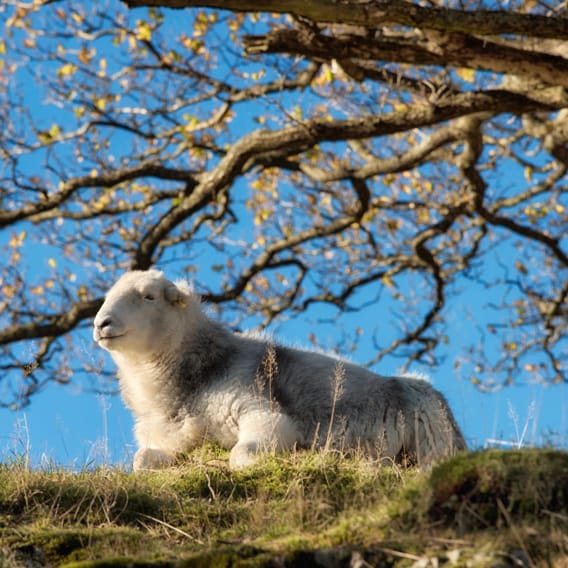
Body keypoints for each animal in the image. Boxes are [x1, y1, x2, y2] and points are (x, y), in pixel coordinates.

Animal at [93, 270, 466, 470]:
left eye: (149, 296)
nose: (101, 324)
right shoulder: (174, 441)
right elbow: (141, 461)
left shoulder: (264, 414)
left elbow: (241, 454)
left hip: (435, 443)